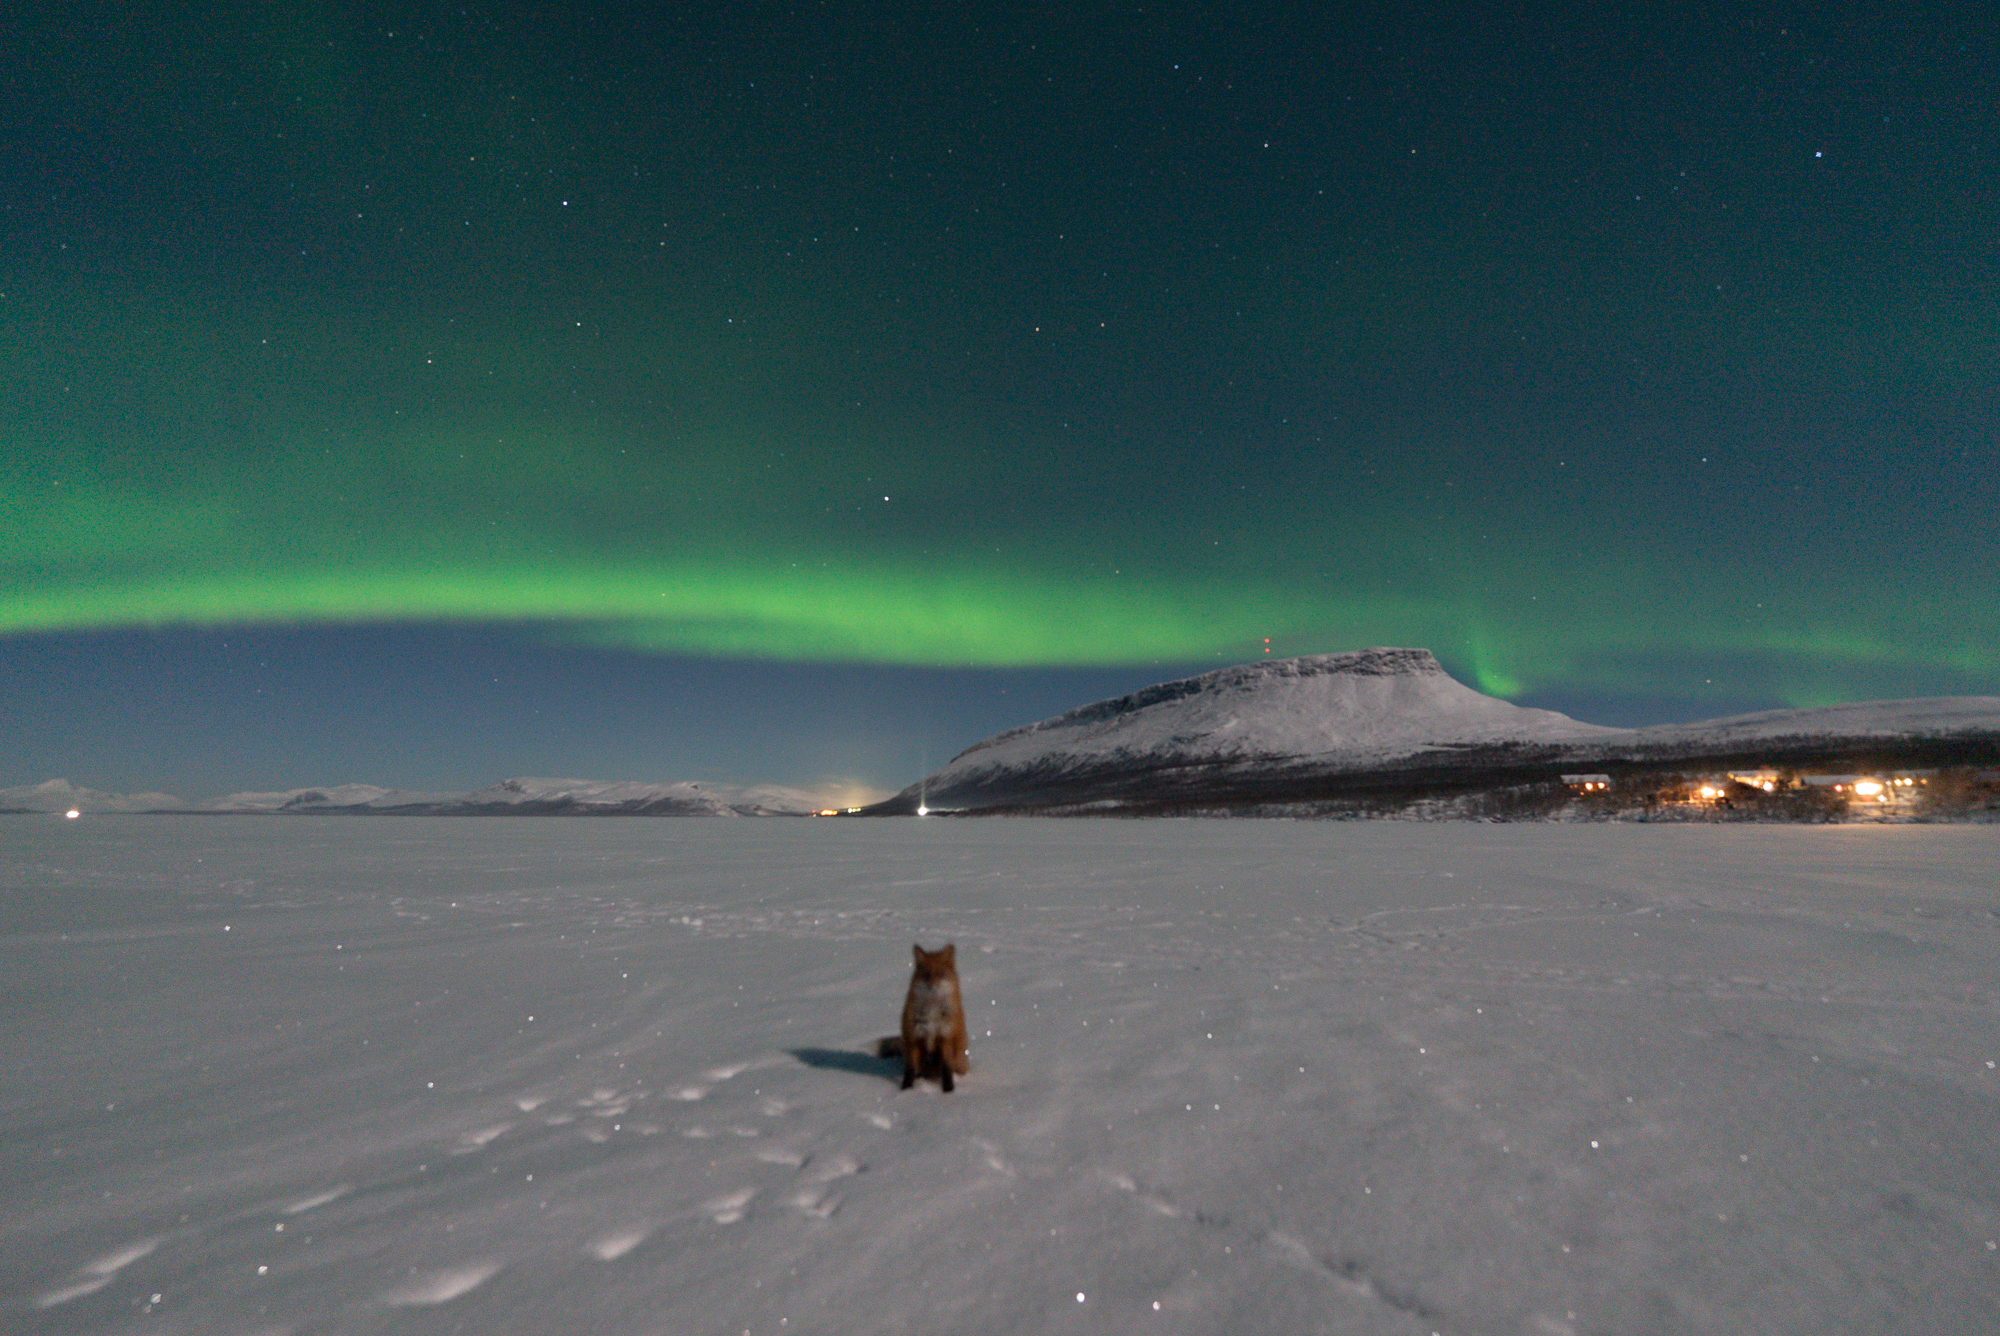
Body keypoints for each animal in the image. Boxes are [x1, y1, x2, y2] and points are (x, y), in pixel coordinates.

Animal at [884, 942, 970, 1092]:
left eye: (940, 974)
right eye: (926, 975)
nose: (932, 986)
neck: (932, 1013)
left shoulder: (944, 1038)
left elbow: (947, 1069)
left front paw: (948, 1090)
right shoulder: (915, 1039)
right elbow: (910, 1070)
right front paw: (906, 1090)